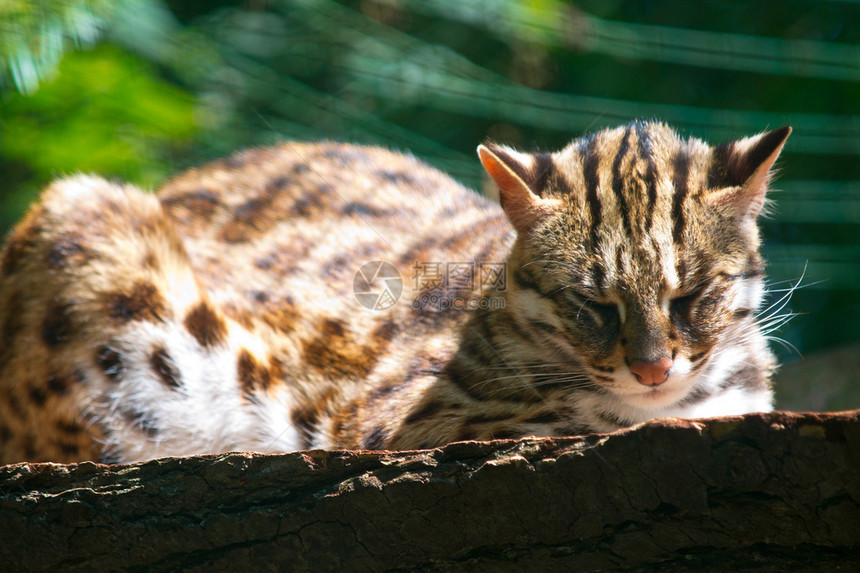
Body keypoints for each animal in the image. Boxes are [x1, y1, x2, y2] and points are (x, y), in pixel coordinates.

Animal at [0, 122, 792, 464]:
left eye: (692, 295)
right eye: (590, 305)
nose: (652, 369)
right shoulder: (405, 421)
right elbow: (575, 418)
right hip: (88, 226)